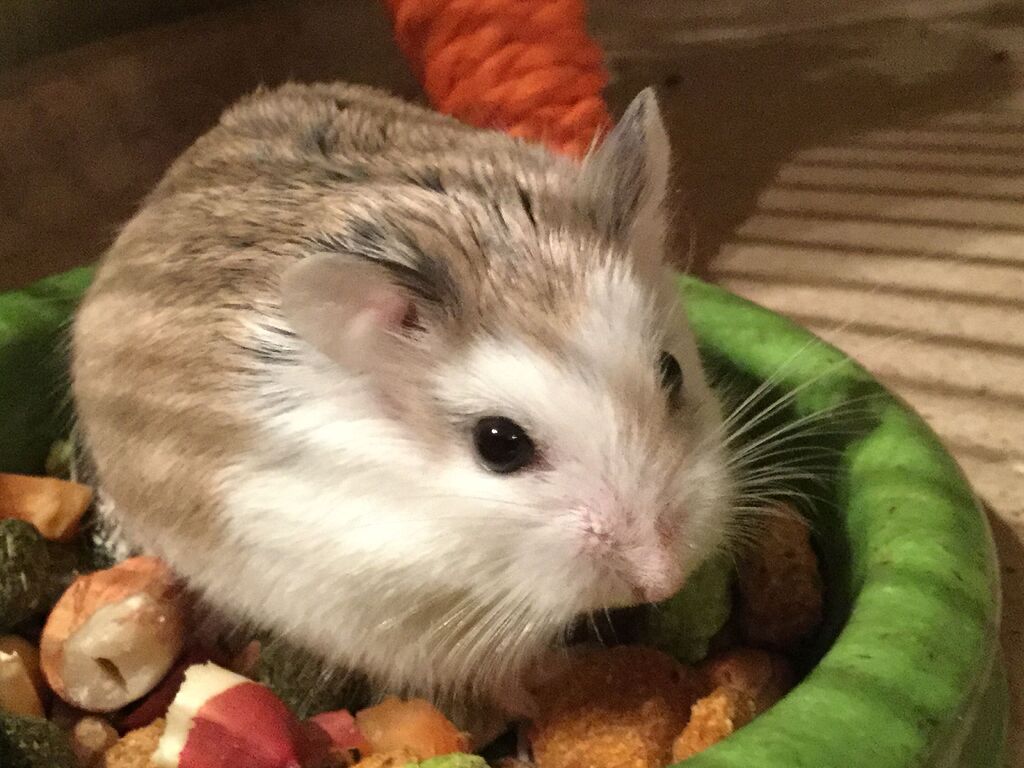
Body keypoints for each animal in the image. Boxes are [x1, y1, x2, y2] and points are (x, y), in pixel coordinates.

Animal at [70, 82, 734, 714]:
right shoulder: (376, 617)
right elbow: (492, 674)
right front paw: (548, 684)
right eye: (499, 445)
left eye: (672, 371)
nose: (663, 579)